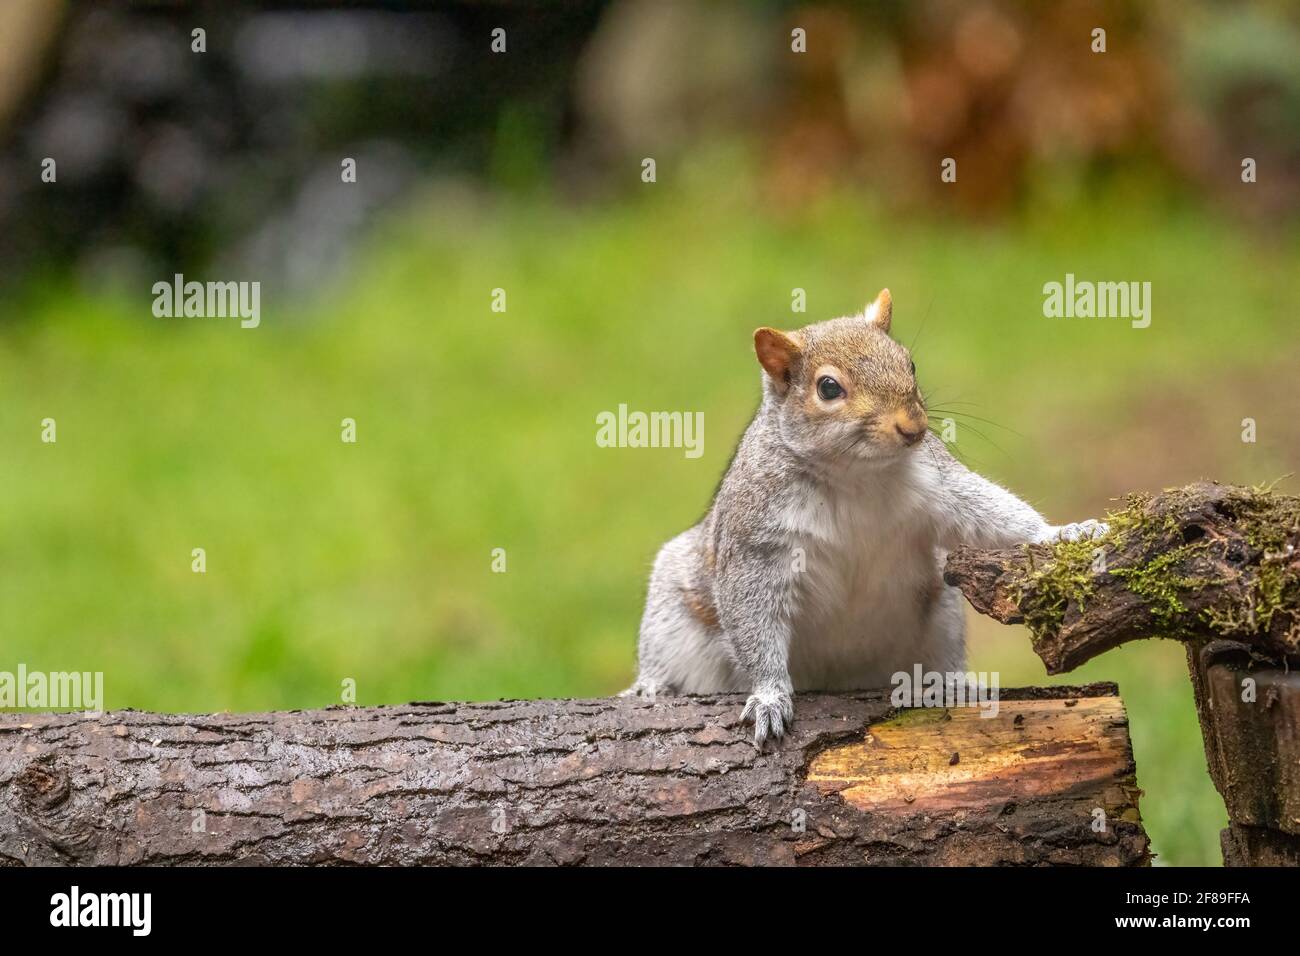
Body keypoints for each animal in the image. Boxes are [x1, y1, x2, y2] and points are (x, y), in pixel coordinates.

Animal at [624, 291, 1102, 749]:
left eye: (909, 362)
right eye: (828, 387)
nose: (914, 427)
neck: (855, 474)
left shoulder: (940, 488)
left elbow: (992, 515)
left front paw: (1062, 532)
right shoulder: (755, 540)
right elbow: (753, 618)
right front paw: (769, 696)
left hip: (942, 615)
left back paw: (953, 682)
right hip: (674, 612)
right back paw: (651, 687)